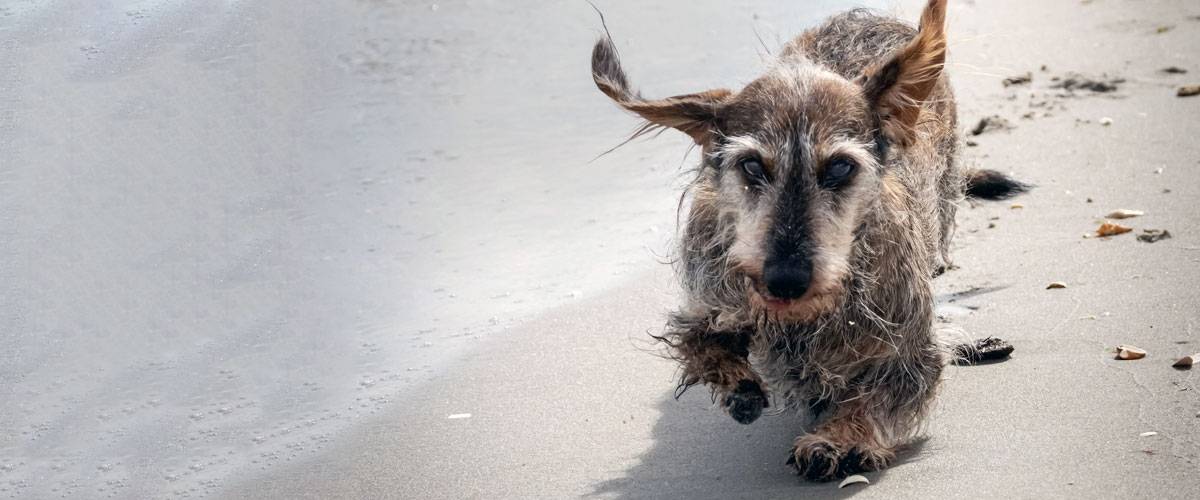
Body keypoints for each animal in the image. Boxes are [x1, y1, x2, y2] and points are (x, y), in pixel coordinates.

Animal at [590, 0, 1022, 484]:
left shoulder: (909, 344)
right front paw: (739, 387)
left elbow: (888, 389)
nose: (785, 279)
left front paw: (839, 438)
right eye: (752, 165)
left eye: (839, 167)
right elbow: (701, 341)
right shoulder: (711, 300)